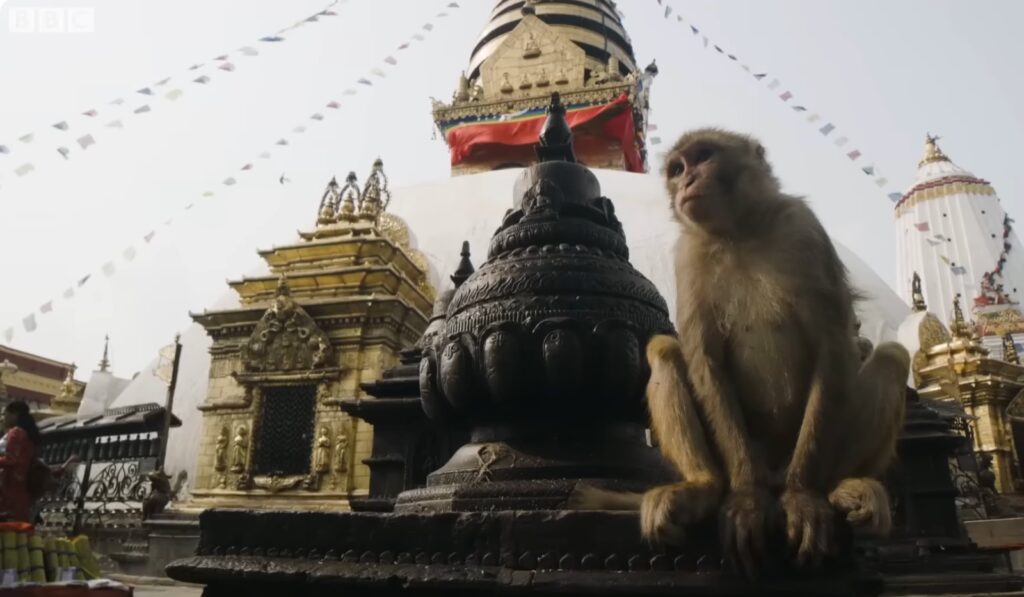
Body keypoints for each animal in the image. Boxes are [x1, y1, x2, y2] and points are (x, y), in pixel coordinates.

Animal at [569, 128, 910, 577]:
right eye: (677, 169)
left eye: (703, 157)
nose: (687, 181)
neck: (740, 232)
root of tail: (774, 470)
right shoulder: (688, 255)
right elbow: (706, 362)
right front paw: (746, 499)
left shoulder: (805, 229)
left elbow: (833, 347)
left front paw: (803, 499)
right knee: (664, 350)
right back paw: (704, 489)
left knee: (892, 357)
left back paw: (840, 487)